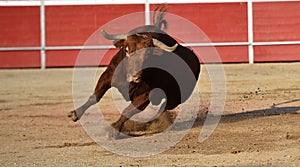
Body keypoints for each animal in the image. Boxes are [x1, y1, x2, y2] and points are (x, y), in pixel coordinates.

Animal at [67, 7, 200, 138]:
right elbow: (95, 97)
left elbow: (127, 111)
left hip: (176, 98)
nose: (135, 77)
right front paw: (74, 114)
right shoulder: (108, 75)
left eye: (148, 55)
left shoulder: (145, 95)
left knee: (162, 109)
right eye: (127, 50)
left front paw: (114, 129)